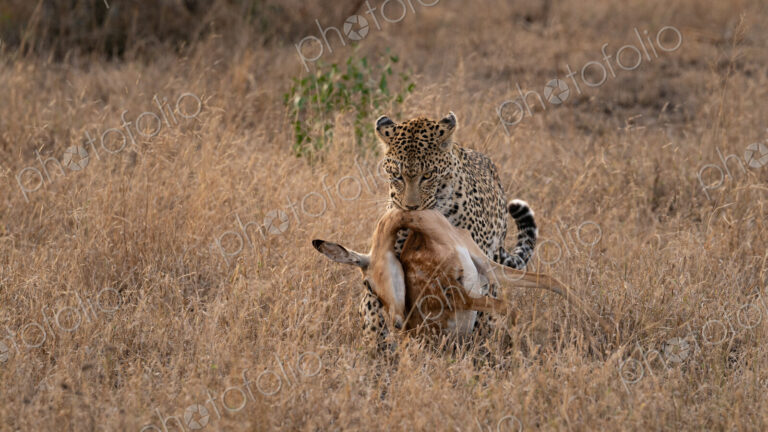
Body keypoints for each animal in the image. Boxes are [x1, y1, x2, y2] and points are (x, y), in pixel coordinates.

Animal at [313, 208, 609, 338]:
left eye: (367, 283)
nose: (398, 322)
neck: (432, 233)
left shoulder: (486, 266)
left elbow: (551, 280)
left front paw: (603, 323)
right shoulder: (459, 296)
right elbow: (511, 309)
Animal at [358, 111, 537, 350]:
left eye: (427, 176)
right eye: (397, 176)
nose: (411, 208)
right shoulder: (387, 254)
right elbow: (371, 298)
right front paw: (373, 340)